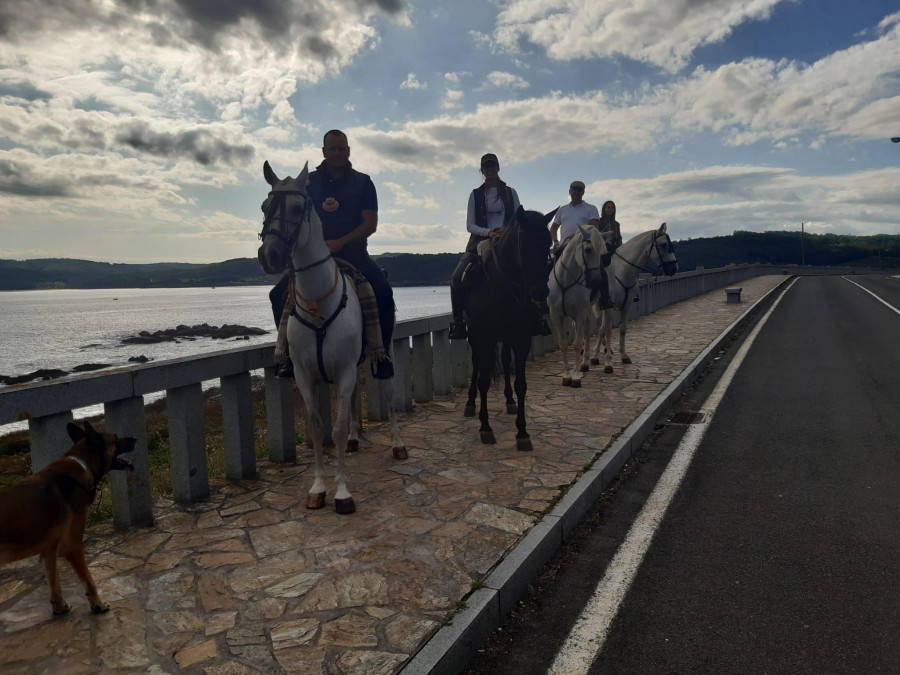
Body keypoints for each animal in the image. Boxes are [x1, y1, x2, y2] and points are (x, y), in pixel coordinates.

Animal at [0, 426, 135, 616]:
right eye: (115, 438)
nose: (136, 439)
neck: (83, 463)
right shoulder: (72, 546)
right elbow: (89, 580)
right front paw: (98, 604)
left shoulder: (49, 549)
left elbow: (54, 581)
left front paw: (59, 606)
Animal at [255, 161, 406, 516]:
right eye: (265, 207)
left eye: (298, 208)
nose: (270, 255)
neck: (318, 303)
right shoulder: (305, 375)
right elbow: (317, 427)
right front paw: (318, 488)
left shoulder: (345, 370)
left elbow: (335, 430)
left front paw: (342, 493)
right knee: (350, 405)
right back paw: (354, 439)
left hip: (384, 354)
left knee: (389, 396)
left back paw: (396, 444)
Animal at [464, 205, 556, 448]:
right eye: (523, 244)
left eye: (548, 243)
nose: (539, 293)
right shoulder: (483, 337)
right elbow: (484, 381)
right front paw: (485, 427)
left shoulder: (521, 338)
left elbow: (521, 384)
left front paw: (522, 431)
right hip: (474, 337)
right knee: (477, 363)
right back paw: (470, 403)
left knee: (505, 361)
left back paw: (508, 400)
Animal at [544, 226, 608, 388]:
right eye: (588, 250)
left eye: (601, 252)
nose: (596, 280)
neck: (566, 281)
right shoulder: (557, 316)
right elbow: (563, 343)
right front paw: (567, 375)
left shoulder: (580, 314)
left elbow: (577, 344)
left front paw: (576, 377)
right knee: (588, 329)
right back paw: (585, 363)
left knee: (605, 330)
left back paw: (607, 363)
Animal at [588, 224, 680, 372]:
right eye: (664, 244)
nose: (673, 268)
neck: (622, 271)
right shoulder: (609, 307)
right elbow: (606, 330)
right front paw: (605, 361)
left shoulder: (627, 305)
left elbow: (622, 329)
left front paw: (623, 355)